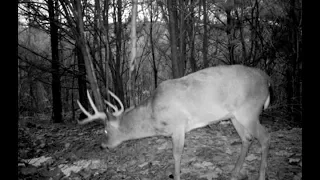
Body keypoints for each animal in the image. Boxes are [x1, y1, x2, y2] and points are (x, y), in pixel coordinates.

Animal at [77, 64, 270, 180]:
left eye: (105, 130)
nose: (102, 146)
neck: (153, 115)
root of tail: (266, 80)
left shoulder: (178, 125)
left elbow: (176, 154)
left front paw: (176, 176)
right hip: (234, 116)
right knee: (247, 139)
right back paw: (234, 172)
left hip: (249, 111)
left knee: (265, 137)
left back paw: (261, 176)